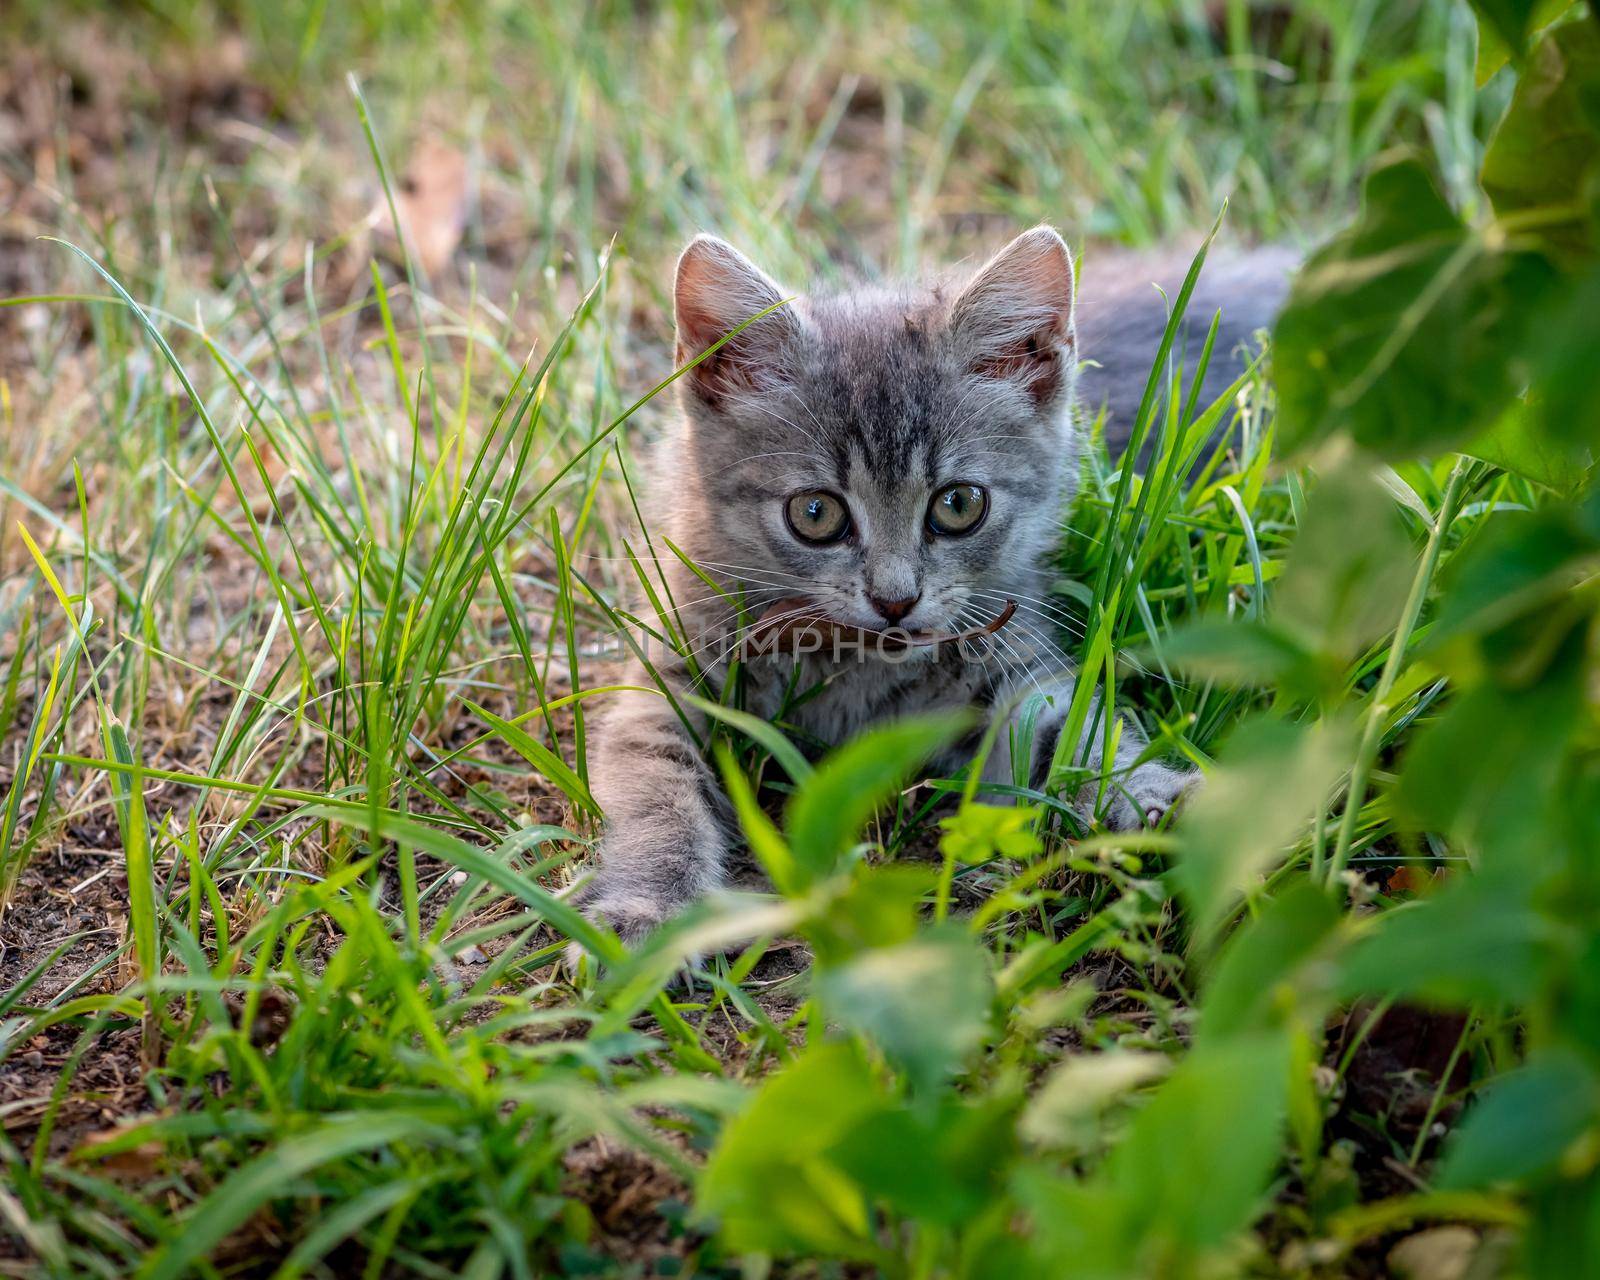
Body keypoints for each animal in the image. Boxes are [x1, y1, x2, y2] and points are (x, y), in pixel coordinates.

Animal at [582, 227, 1280, 947]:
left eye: (959, 504)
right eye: (814, 513)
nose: (895, 600)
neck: (855, 665)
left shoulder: (1011, 667)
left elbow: (1074, 737)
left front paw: (1163, 802)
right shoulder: (671, 672)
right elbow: (655, 788)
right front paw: (647, 906)